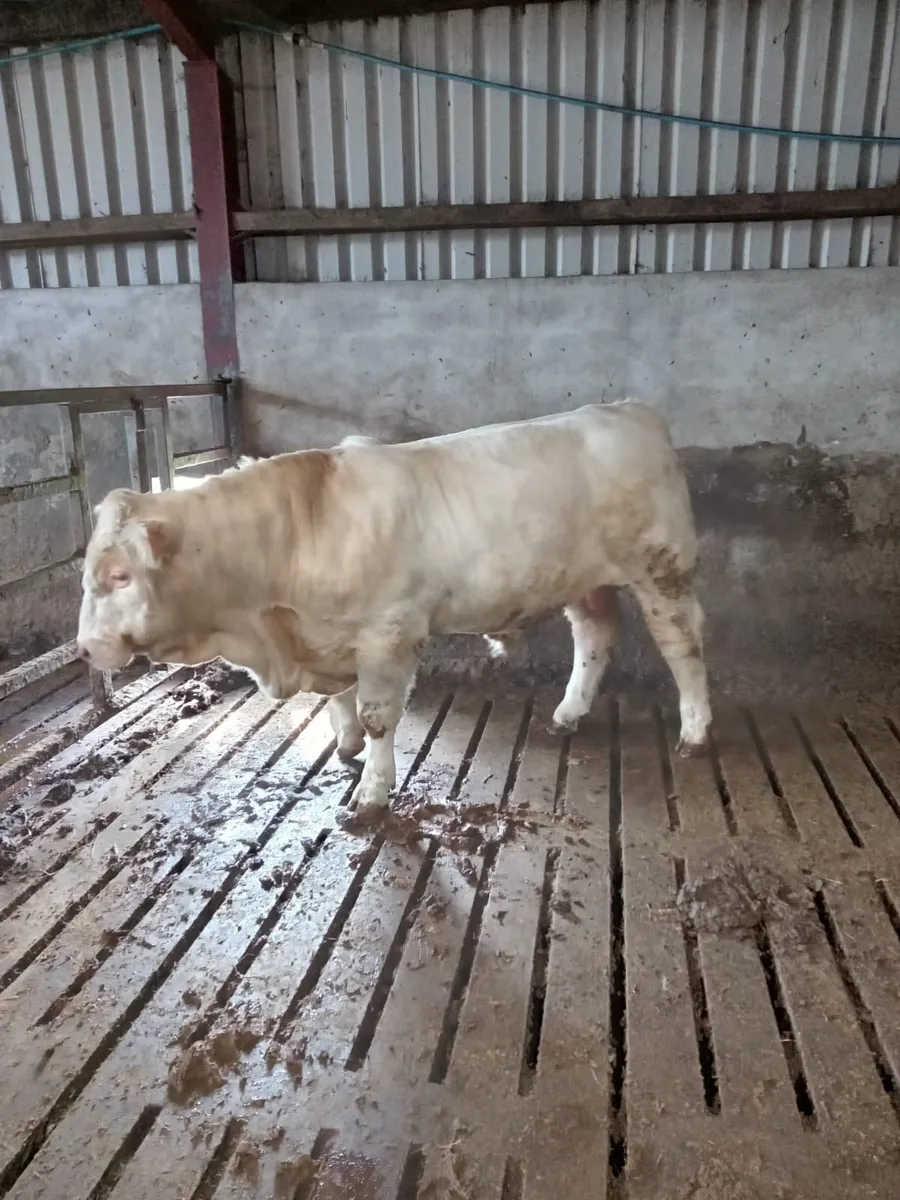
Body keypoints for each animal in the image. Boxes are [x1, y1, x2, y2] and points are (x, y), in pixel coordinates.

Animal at [76, 401, 711, 812]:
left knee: (682, 643)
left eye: (120, 574)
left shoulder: (389, 632)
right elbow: (338, 699)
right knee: (595, 634)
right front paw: (346, 744)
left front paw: (373, 792)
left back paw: (696, 731)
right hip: (585, 579)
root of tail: (628, 411)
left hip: (662, 570)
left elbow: (380, 715)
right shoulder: (326, 638)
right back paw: (569, 713)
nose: (84, 648)